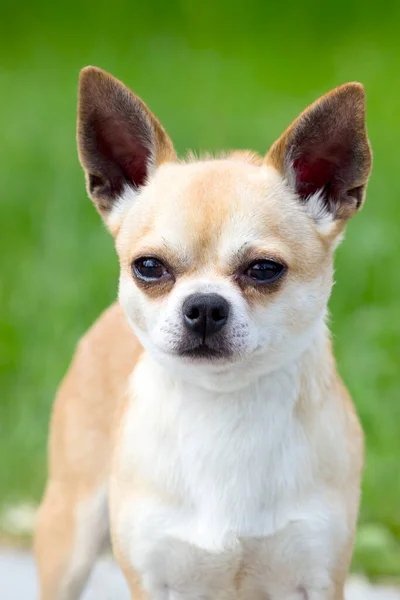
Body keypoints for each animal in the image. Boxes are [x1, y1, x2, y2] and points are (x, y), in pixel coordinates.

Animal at [34, 67, 372, 600]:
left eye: (265, 270)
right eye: (149, 267)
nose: (205, 306)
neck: (222, 407)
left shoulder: (319, 575)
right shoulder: (151, 579)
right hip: (69, 534)